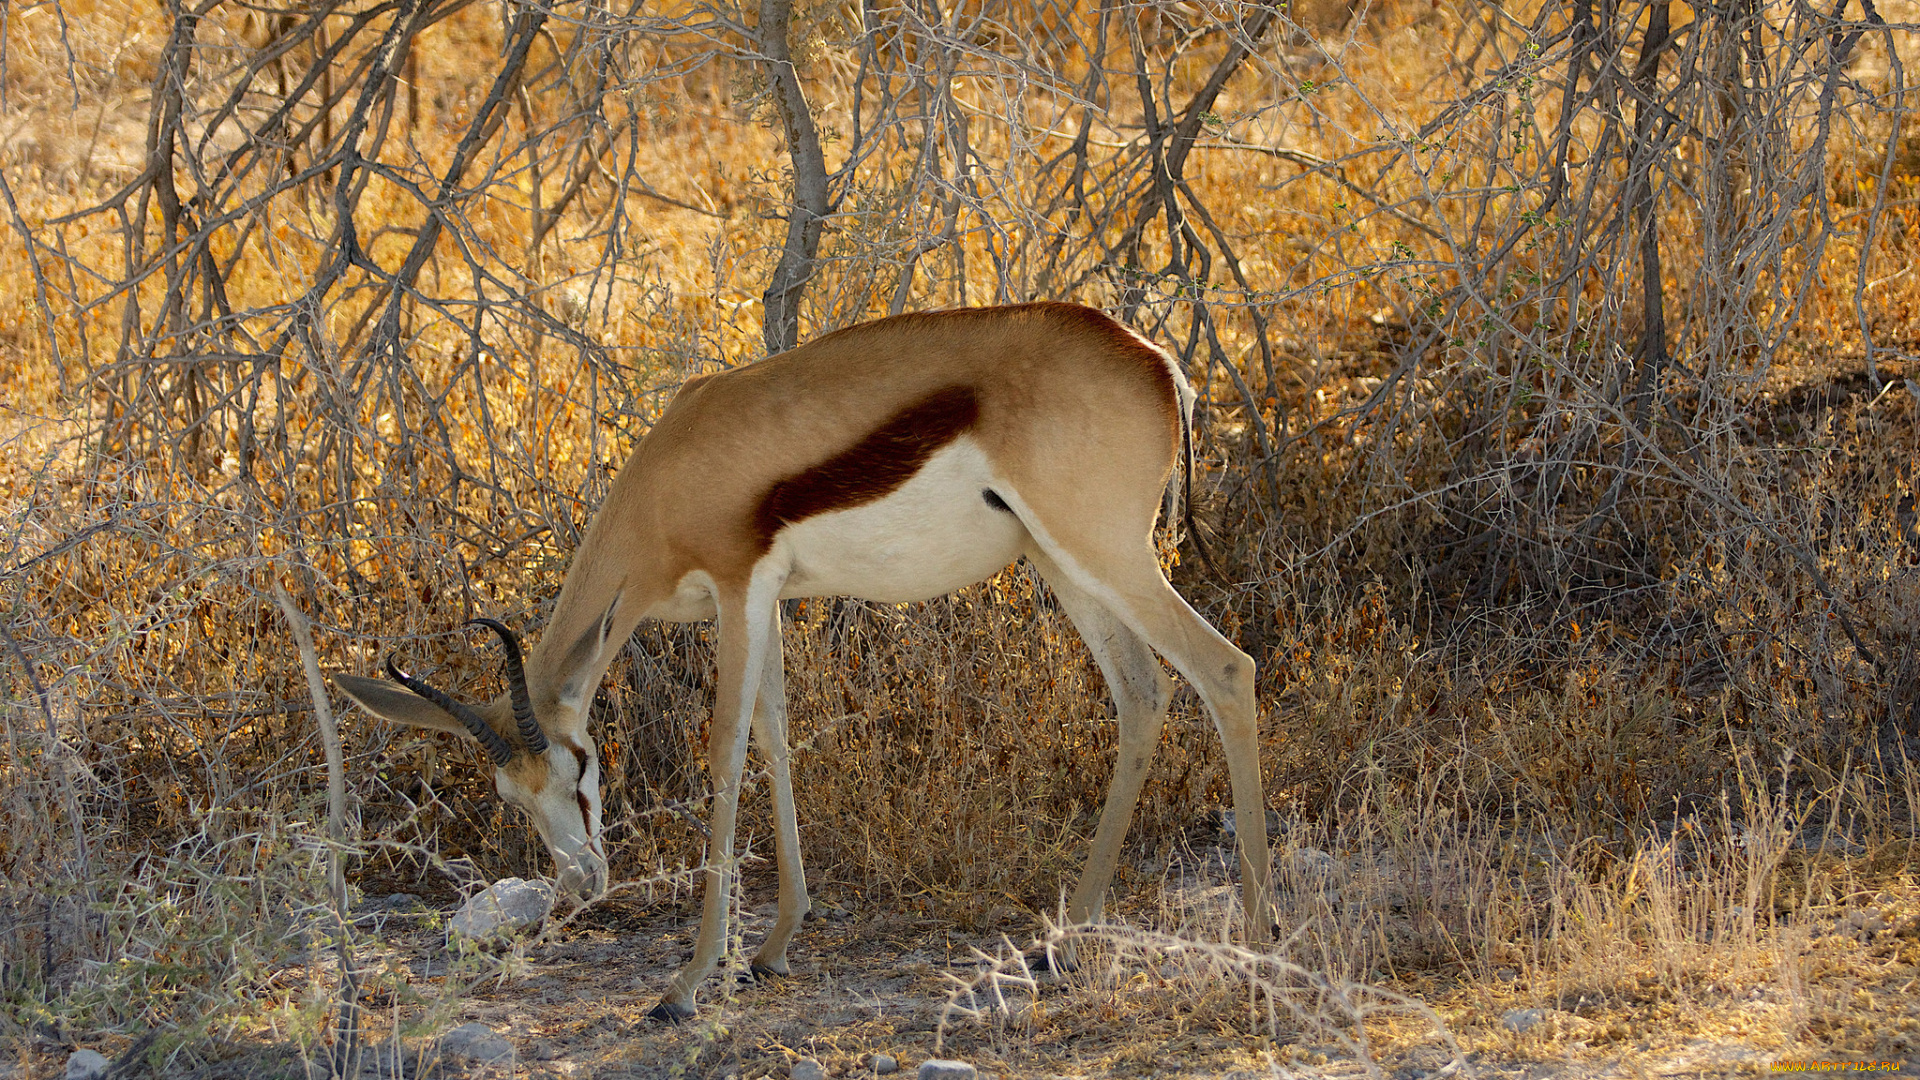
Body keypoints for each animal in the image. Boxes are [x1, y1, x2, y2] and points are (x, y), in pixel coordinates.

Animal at [337, 303, 1274, 1014]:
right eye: (510, 797)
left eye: (581, 766)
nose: (582, 884)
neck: (671, 476)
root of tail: (1155, 361)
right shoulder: (769, 597)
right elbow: (776, 734)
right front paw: (775, 945)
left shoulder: (739, 582)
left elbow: (724, 749)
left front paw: (687, 982)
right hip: (1060, 561)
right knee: (1143, 694)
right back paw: (1065, 940)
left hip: (1104, 553)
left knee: (1227, 670)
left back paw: (1261, 937)